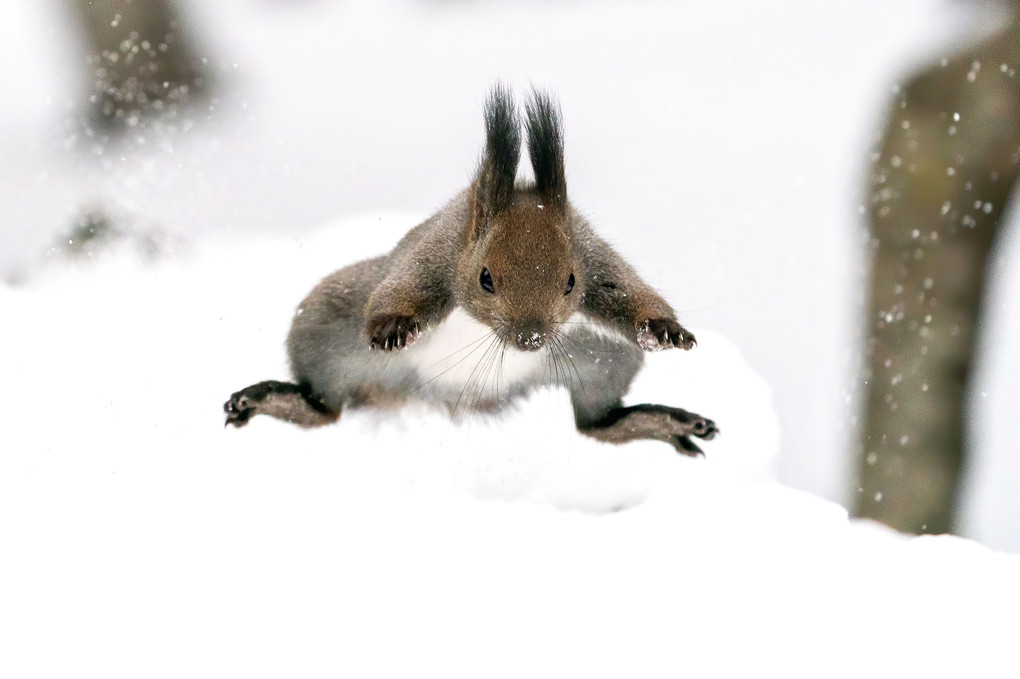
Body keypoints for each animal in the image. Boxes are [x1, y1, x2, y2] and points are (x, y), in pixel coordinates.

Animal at [225, 86, 718, 454]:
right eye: (485, 279)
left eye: (570, 282)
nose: (530, 340)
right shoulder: (435, 252)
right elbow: (403, 286)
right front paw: (394, 326)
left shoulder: (590, 252)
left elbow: (625, 289)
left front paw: (664, 329)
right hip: (325, 329)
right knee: (324, 409)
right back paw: (271, 399)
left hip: (601, 361)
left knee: (594, 423)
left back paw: (666, 422)